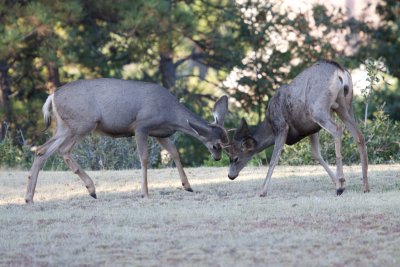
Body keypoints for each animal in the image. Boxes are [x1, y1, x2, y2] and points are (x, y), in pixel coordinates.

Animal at [25, 78, 228, 204]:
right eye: (216, 145)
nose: (217, 158)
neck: (170, 115)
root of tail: (52, 97)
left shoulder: (160, 133)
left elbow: (175, 153)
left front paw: (188, 186)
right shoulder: (142, 126)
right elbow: (144, 158)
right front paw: (144, 192)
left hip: (64, 126)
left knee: (41, 150)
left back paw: (29, 198)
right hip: (83, 123)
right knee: (64, 150)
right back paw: (91, 189)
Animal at [225, 60, 368, 197]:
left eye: (235, 158)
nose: (230, 176)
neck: (270, 126)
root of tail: (340, 71)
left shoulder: (281, 126)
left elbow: (274, 159)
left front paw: (262, 191)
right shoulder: (312, 128)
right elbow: (315, 154)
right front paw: (336, 181)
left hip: (318, 109)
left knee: (337, 129)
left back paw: (341, 186)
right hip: (345, 106)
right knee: (359, 135)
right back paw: (365, 186)